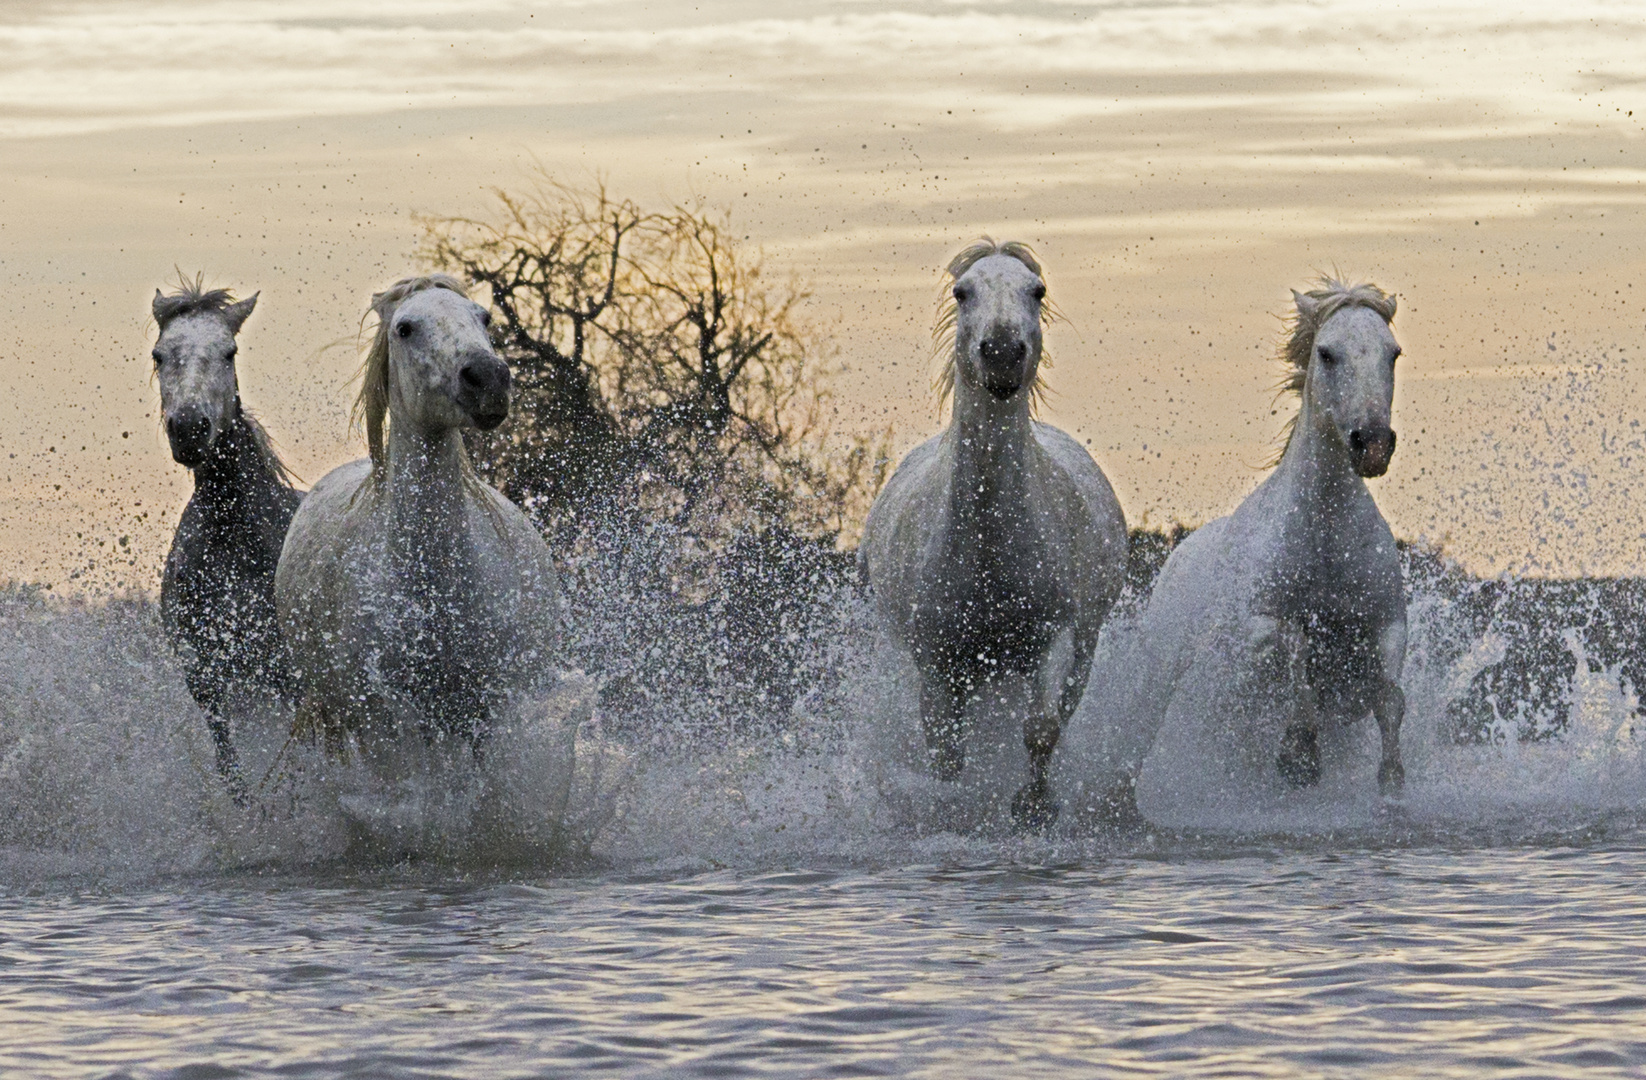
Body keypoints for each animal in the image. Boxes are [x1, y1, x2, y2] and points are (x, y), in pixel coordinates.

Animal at [153, 278, 301, 800]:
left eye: (230, 351)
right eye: (159, 354)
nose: (189, 428)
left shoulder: (287, 677)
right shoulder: (208, 682)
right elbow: (232, 770)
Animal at [274, 276, 566, 783]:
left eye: (484, 317)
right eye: (405, 328)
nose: (488, 378)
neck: (435, 586)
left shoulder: (484, 718)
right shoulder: (385, 727)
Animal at [862, 238, 1132, 826]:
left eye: (1038, 290)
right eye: (963, 292)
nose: (1003, 353)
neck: (989, 544)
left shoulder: (1055, 636)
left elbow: (1041, 729)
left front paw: (1033, 807)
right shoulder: (936, 659)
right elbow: (945, 752)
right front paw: (955, 809)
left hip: (1083, 646)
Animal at [1066, 278, 1402, 826]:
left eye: (1393, 353)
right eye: (1327, 353)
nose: (1371, 443)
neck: (1326, 541)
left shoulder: (1388, 623)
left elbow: (1390, 697)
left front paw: (1391, 778)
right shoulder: (1256, 628)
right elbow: (1296, 648)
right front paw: (1300, 756)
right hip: (1162, 679)